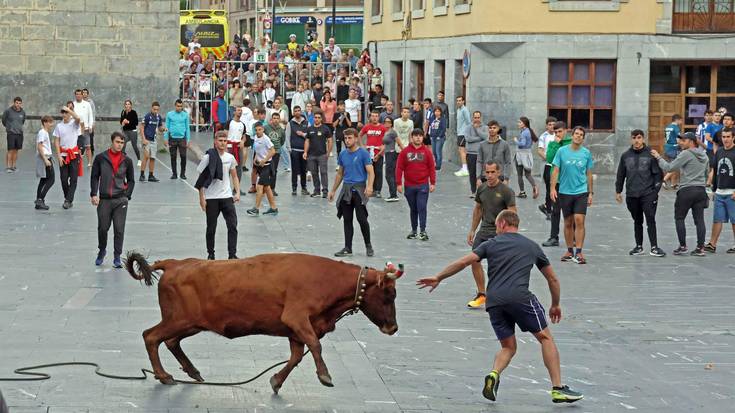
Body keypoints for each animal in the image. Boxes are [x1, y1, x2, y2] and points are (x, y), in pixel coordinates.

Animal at [125, 249, 402, 392]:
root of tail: (175, 263)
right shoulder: (297, 319)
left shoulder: (294, 330)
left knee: (171, 342)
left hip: (192, 324)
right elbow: (315, 345)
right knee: (151, 336)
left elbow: (296, 356)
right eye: (390, 294)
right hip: (180, 320)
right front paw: (324, 376)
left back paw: (192, 372)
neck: (327, 279)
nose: (393, 327)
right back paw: (163, 376)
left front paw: (276, 380)